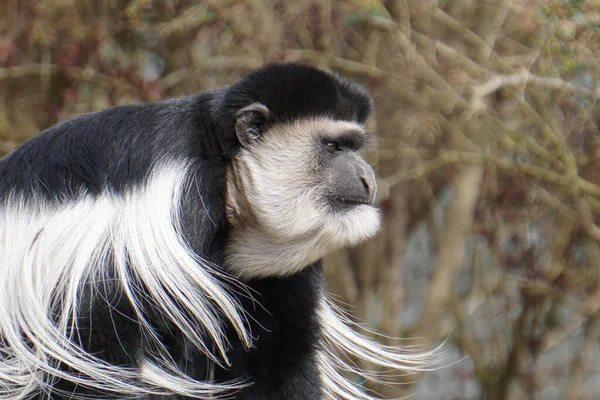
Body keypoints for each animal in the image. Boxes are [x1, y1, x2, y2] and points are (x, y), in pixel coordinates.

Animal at [0, 64, 432, 398]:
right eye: (332, 147)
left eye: (354, 145)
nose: (368, 178)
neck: (225, 170)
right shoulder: (174, 207)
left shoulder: (279, 274)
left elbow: (279, 355)